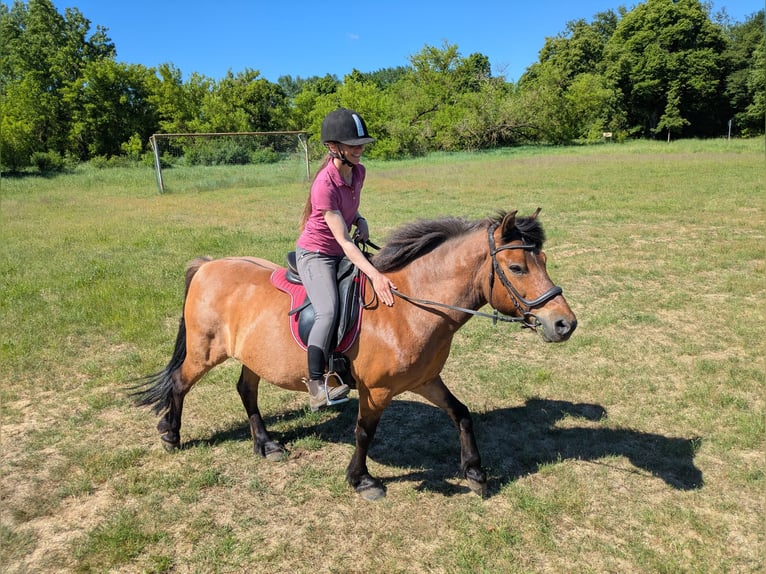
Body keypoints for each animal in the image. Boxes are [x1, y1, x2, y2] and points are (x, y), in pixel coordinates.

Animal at [132, 209, 577, 500]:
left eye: (543, 259)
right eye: (517, 267)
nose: (564, 324)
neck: (410, 308)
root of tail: (209, 265)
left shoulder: (425, 380)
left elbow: (461, 413)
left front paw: (475, 471)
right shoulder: (376, 390)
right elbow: (364, 432)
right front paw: (361, 479)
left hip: (252, 356)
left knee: (246, 391)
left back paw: (266, 444)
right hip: (204, 352)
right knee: (179, 383)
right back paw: (171, 435)